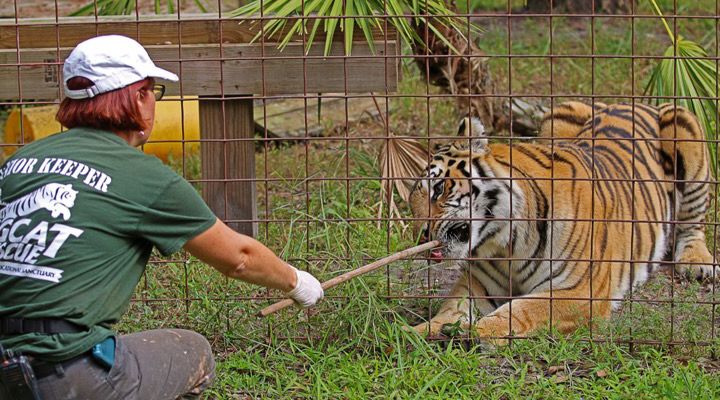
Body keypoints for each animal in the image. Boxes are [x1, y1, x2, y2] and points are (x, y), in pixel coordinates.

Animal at [408, 101, 716, 342]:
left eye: (438, 189)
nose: (421, 236)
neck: (505, 243)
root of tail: (632, 102)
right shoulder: (478, 284)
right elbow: (451, 309)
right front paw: (417, 332)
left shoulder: (578, 292)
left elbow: (521, 311)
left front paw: (478, 331)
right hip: (558, 115)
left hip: (684, 126)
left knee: (693, 224)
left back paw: (698, 264)